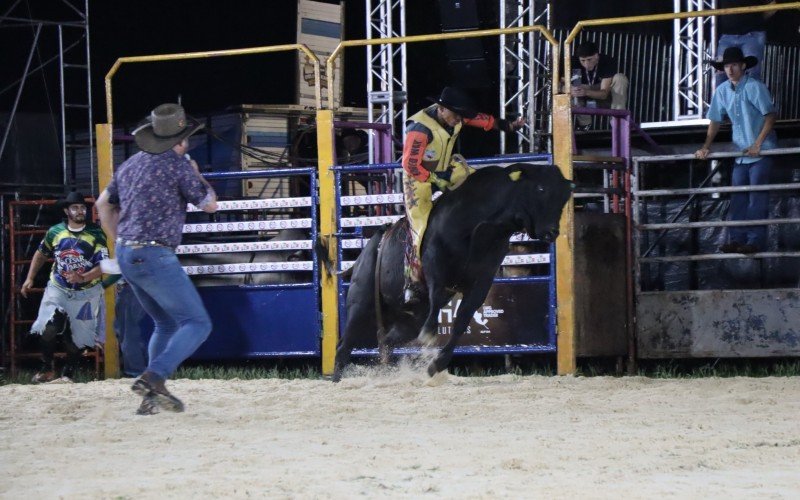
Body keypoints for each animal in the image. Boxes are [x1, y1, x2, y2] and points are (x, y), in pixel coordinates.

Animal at [326, 162, 576, 380]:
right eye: (540, 188)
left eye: (564, 196)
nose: (551, 232)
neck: (482, 225)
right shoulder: (435, 263)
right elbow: (437, 297)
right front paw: (430, 333)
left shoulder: (481, 281)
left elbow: (462, 319)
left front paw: (437, 364)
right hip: (361, 305)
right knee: (344, 346)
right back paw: (338, 379)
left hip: (407, 319)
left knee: (387, 341)